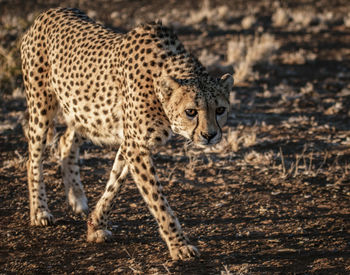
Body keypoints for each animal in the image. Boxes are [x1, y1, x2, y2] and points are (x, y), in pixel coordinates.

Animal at [21, 7, 234, 260]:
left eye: (220, 110)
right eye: (191, 112)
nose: (210, 135)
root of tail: (49, 12)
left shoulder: (130, 143)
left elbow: (114, 185)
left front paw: (95, 225)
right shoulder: (137, 146)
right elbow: (157, 201)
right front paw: (179, 245)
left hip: (86, 113)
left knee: (65, 142)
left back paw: (77, 199)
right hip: (42, 107)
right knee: (34, 158)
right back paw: (40, 212)